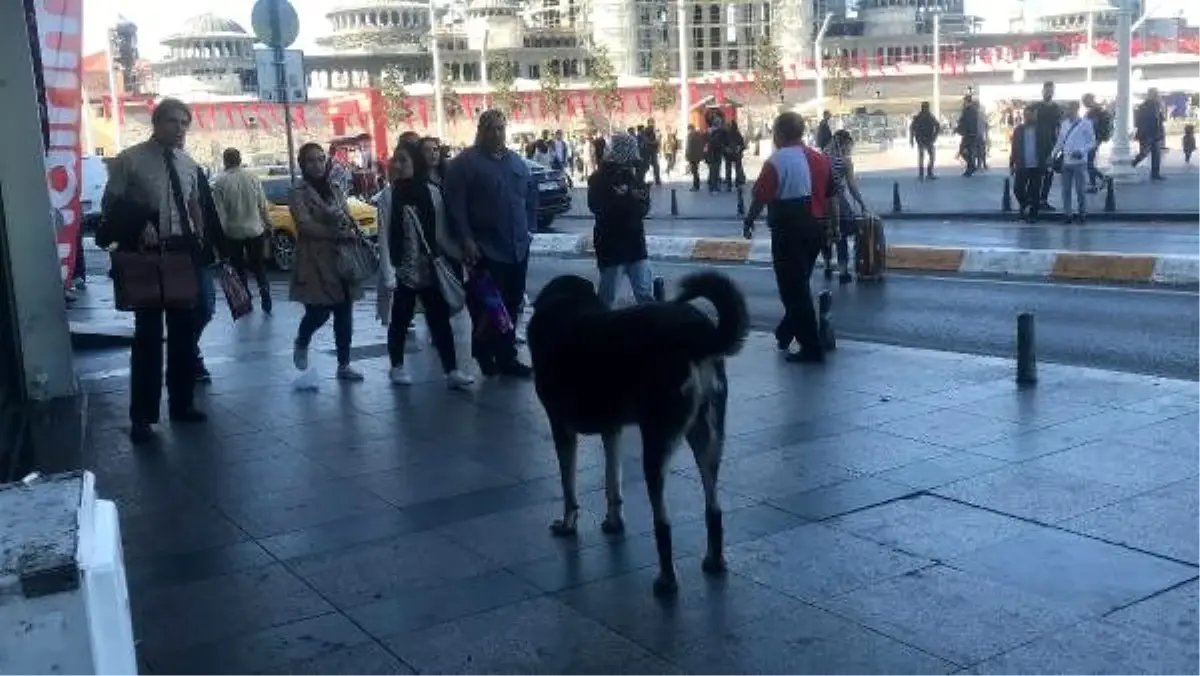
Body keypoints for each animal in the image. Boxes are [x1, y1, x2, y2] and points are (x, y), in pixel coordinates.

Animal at [528, 271, 744, 597]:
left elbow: (569, 487)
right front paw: (614, 521)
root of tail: (696, 331)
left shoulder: (561, 428)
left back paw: (667, 581)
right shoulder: (612, 429)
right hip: (708, 440)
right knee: (714, 509)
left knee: (663, 523)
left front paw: (568, 525)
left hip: (655, 445)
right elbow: (612, 481)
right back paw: (714, 561)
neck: (566, 301)